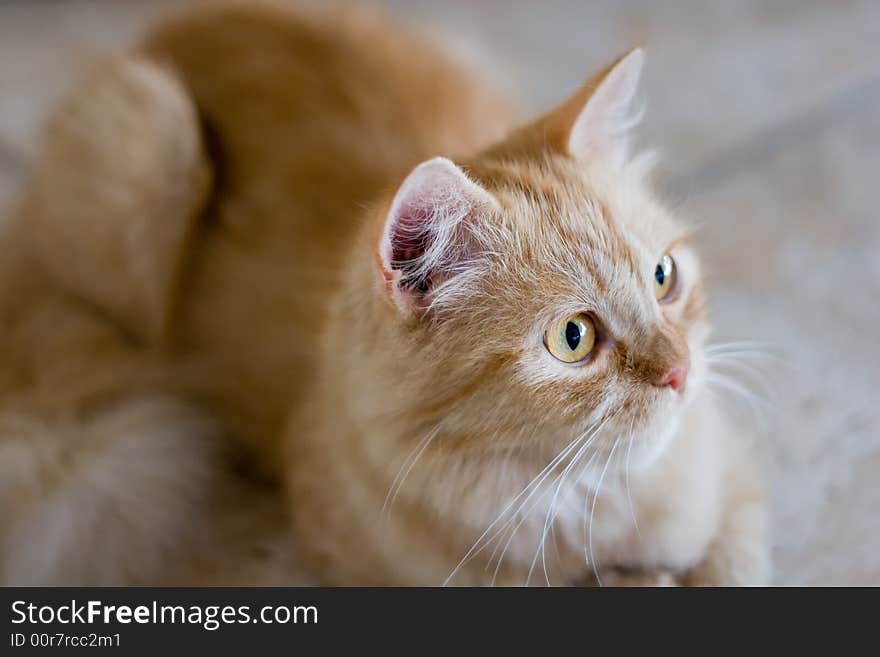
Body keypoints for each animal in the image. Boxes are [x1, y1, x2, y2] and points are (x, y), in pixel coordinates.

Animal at [0, 0, 768, 584]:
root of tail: (187, 18)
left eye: (664, 278)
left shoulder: (734, 484)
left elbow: (727, 567)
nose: (681, 372)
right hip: (148, 144)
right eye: (572, 338)